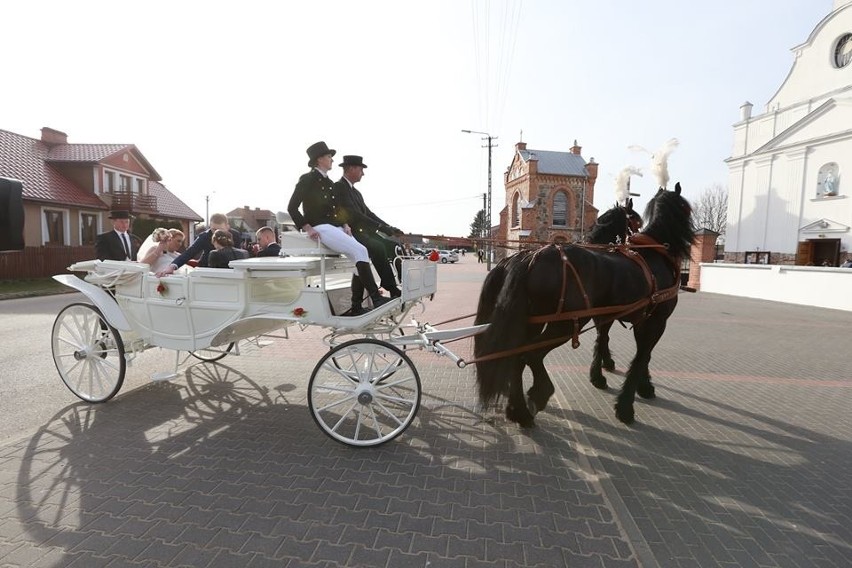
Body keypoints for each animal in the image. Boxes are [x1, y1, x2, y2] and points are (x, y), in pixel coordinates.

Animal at [472, 185, 692, 426]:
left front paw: (615, 377)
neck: (654, 255)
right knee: (530, 355)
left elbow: (626, 348)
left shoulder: (631, 318)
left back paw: (517, 409)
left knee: (517, 357)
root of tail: (528, 258)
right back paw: (538, 396)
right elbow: (641, 356)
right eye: (635, 221)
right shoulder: (656, 321)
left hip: (532, 322)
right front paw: (626, 405)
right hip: (565, 324)